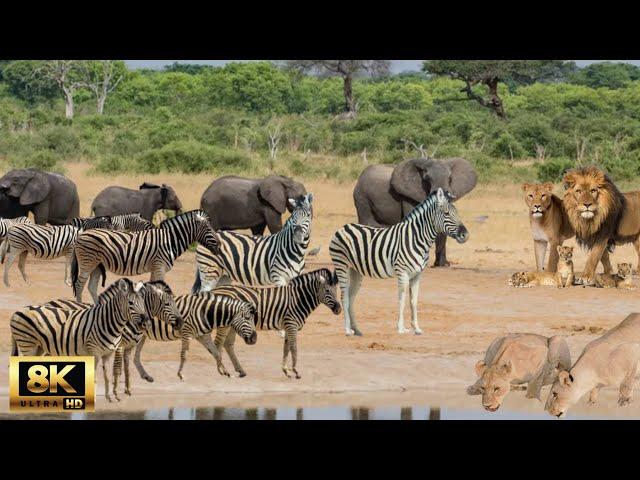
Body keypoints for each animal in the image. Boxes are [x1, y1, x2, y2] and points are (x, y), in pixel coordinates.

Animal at [10, 280, 149, 404]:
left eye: (143, 302)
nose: (146, 321)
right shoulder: (94, 352)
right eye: (130, 303)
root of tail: (17, 311)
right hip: (27, 344)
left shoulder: (107, 353)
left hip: (39, 347)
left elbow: (107, 377)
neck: (108, 322)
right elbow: (95, 378)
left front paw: (110, 398)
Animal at [71, 209, 221, 302]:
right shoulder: (160, 266)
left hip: (96, 265)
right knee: (79, 285)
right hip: (87, 262)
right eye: (208, 229)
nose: (219, 245)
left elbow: (152, 288)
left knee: (91, 287)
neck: (170, 240)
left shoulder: (155, 268)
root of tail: (82, 234)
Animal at [121, 290, 256, 384]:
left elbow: (216, 353)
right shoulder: (186, 333)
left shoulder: (203, 335)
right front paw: (180, 375)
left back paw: (146, 376)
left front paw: (225, 372)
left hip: (141, 335)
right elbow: (184, 355)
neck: (204, 312)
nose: (254, 339)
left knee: (135, 357)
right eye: (247, 318)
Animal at [212, 268, 342, 376]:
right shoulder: (291, 325)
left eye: (336, 290)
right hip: (225, 324)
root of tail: (216, 289)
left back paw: (240, 370)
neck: (298, 299)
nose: (339, 309)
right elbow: (293, 348)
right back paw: (221, 370)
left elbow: (286, 348)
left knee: (228, 344)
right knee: (218, 343)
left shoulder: (288, 326)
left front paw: (286, 370)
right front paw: (295, 370)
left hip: (234, 325)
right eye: (327, 290)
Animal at [328, 186, 468, 336]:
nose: (465, 235)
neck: (416, 238)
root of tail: (343, 227)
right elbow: (402, 299)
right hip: (341, 265)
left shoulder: (417, 275)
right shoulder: (402, 272)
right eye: (446, 213)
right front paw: (401, 328)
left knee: (351, 297)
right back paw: (348, 330)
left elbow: (413, 301)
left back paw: (357, 329)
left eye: (457, 213)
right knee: (344, 296)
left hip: (355, 270)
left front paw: (416, 328)